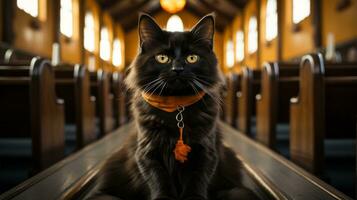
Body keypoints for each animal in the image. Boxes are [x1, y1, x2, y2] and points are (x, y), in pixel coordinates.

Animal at [86, 13, 258, 199]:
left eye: (192, 58)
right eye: (162, 58)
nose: (178, 69)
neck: (176, 107)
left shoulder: (205, 152)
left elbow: (196, 184)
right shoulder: (148, 153)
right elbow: (160, 182)